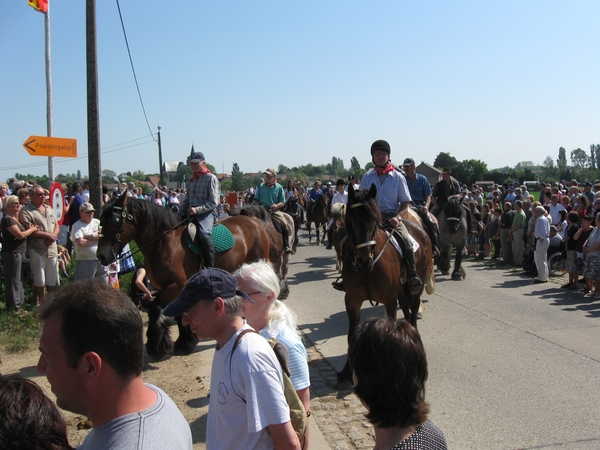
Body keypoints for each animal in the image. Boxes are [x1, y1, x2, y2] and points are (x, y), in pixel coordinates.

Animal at [96, 192, 270, 360]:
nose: (101, 256)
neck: (164, 243)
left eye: (115, 220)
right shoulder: (175, 288)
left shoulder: (174, 285)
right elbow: (178, 312)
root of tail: (253, 221)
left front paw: (157, 348)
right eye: (101, 221)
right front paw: (184, 342)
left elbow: (154, 309)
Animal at [338, 183, 432, 384]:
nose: (364, 260)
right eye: (351, 219)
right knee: (406, 307)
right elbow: (351, 334)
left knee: (413, 309)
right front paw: (347, 371)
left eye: (374, 219)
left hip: (415, 286)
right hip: (400, 289)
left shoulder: (389, 300)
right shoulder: (352, 300)